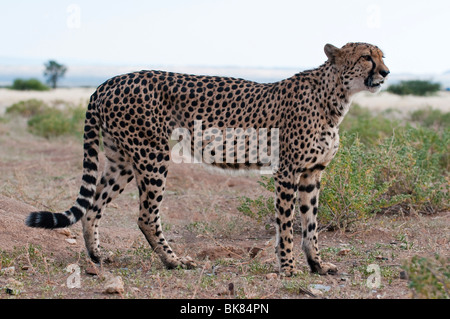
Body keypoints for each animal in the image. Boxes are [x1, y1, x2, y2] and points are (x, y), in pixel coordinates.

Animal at [26, 43, 388, 278]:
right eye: (366, 56)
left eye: (383, 55)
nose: (386, 72)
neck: (336, 96)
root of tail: (107, 82)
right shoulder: (288, 171)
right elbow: (287, 224)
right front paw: (288, 268)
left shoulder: (313, 172)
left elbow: (310, 224)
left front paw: (317, 265)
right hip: (153, 154)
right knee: (146, 215)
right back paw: (175, 262)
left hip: (123, 160)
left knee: (93, 206)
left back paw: (98, 256)